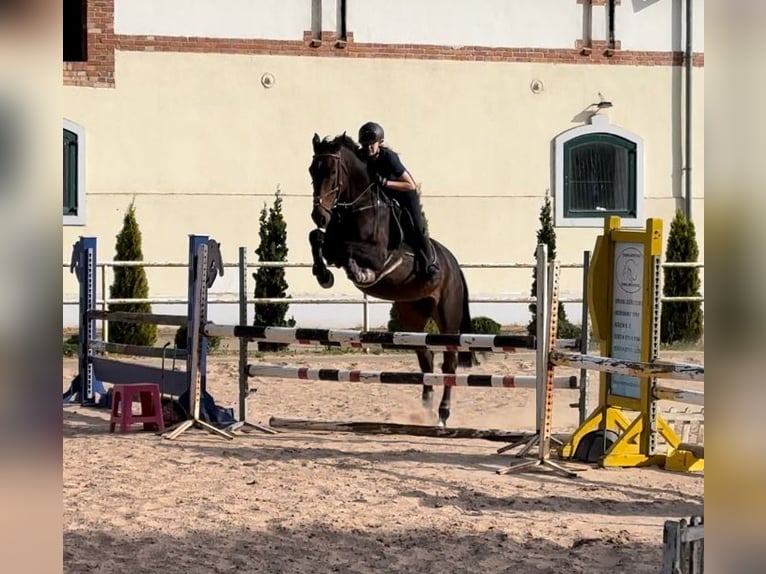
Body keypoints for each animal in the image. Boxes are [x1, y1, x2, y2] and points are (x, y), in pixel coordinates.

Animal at [308, 132, 476, 428]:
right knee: (426, 358)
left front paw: (359, 273)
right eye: (311, 171)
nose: (319, 215)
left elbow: (348, 249)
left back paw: (443, 414)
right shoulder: (330, 243)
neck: (357, 206)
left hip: (448, 316)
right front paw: (323, 274)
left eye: (331, 171)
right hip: (412, 315)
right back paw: (426, 409)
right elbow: (317, 238)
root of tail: (456, 265)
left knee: (449, 363)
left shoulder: (377, 255)